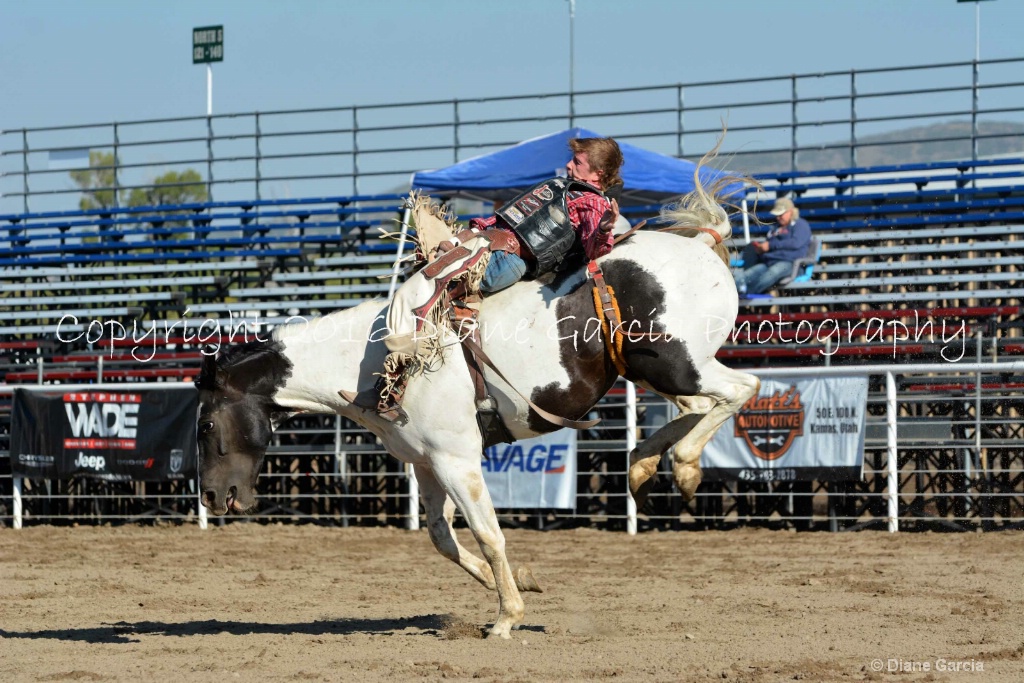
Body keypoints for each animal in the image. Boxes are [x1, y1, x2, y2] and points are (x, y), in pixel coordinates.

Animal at [197, 160, 761, 643]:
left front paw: (506, 618)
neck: (370, 356)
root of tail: (702, 243)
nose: (210, 497)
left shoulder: (457, 458)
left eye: (205, 427)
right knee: (695, 409)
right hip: (651, 370)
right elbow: (441, 537)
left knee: (742, 389)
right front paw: (518, 582)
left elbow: (489, 534)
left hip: (677, 362)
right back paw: (644, 465)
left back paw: (683, 466)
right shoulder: (426, 462)